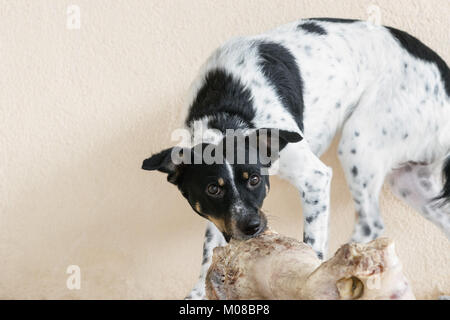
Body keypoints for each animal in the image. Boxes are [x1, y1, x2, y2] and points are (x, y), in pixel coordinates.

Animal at [143, 19, 450, 300]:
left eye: (254, 179)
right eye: (212, 189)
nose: (252, 227)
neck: (225, 113)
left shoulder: (314, 178)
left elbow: (310, 247)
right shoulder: (219, 217)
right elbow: (209, 249)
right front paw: (200, 291)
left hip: (359, 143)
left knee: (370, 224)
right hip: (410, 182)